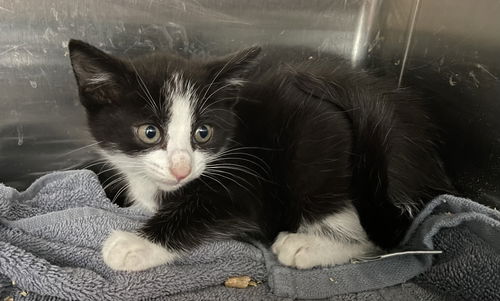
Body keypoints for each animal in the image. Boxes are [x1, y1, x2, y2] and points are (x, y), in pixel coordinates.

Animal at [67, 38, 454, 270]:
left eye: (202, 133)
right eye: (150, 133)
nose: (181, 169)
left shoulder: (246, 186)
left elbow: (200, 213)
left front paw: (133, 245)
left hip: (319, 141)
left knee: (369, 237)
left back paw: (306, 246)